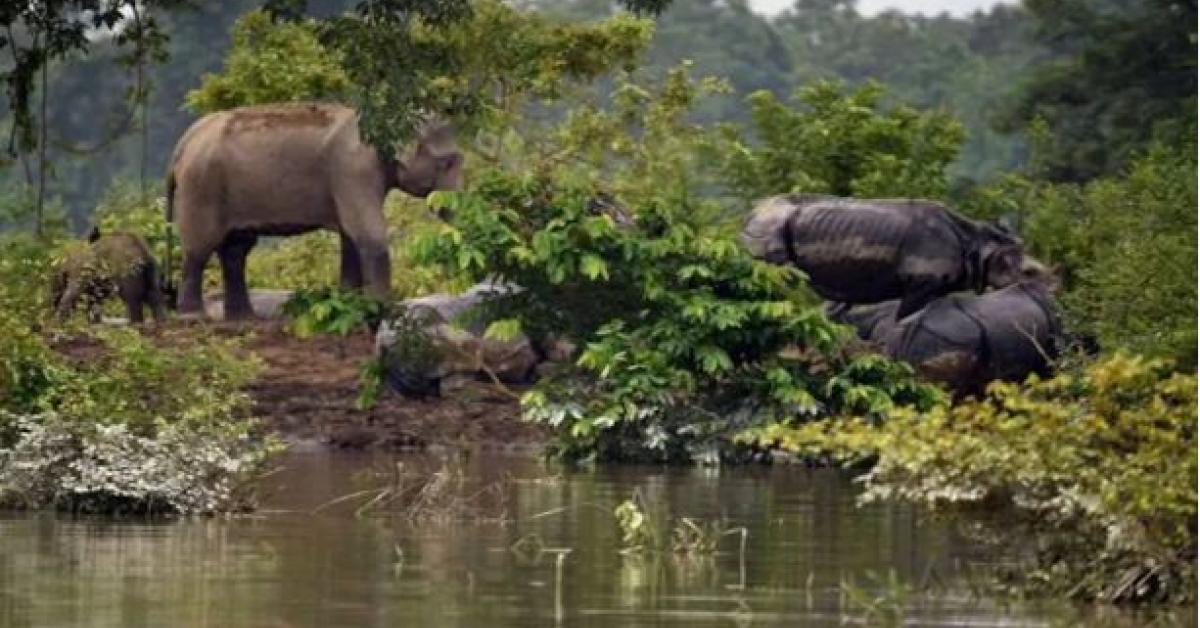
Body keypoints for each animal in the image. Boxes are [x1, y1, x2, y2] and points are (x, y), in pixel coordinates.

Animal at [168, 104, 463, 319]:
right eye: (447, 162)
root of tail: (185, 140)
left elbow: (350, 235)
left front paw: (348, 303)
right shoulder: (353, 171)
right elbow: (368, 232)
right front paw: (381, 311)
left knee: (235, 249)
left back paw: (243, 319)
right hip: (201, 187)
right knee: (200, 248)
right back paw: (194, 316)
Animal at [744, 195, 1027, 319]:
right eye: (1013, 268)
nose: (1028, 282)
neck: (977, 242)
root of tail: (753, 211)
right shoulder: (920, 284)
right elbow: (903, 316)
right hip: (770, 227)